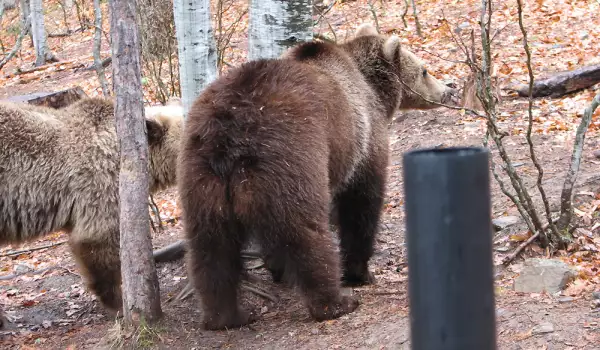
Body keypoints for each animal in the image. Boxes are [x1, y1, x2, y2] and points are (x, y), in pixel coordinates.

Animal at [178, 22, 460, 330]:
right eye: (424, 70)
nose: (449, 89)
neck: (369, 87)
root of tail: (229, 134)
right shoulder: (361, 139)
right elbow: (361, 204)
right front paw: (360, 272)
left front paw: (277, 269)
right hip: (291, 158)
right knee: (304, 232)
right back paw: (336, 302)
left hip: (200, 177)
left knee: (210, 245)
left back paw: (226, 316)